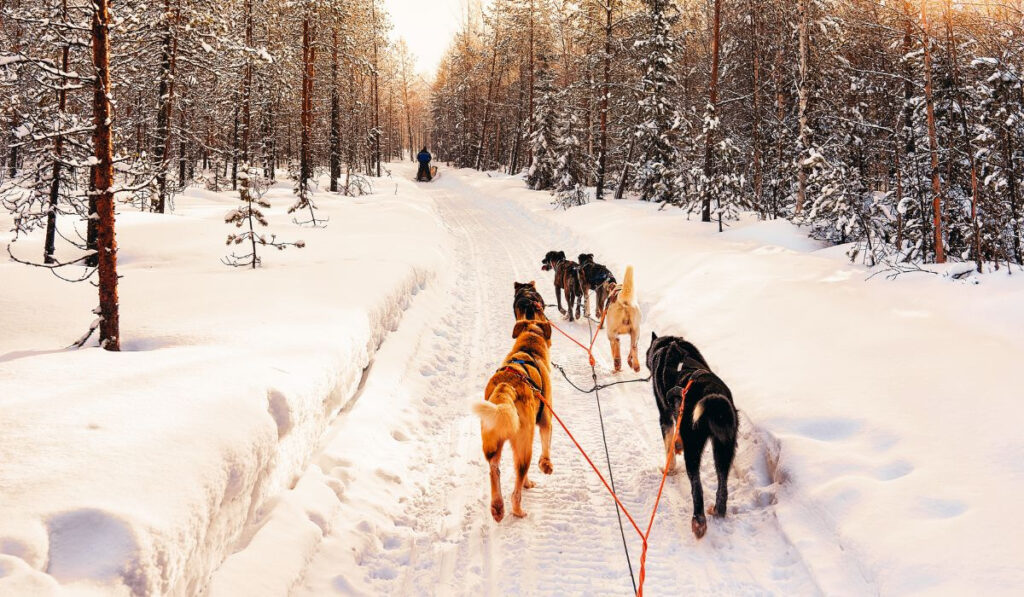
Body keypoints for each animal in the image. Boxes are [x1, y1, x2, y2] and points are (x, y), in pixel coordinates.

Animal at [471, 319, 552, 520]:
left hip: (492, 439)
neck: (528, 348)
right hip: (524, 445)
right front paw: (546, 465)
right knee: (517, 485)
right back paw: (518, 510)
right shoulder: (546, 418)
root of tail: (506, 387)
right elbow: (546, 444)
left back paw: (497, 507)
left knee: (494, 469)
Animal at [647, 333, 737, 540]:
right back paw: (718, 511)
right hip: (724, 448)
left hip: (694, 449)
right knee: (722, 485)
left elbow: (669, 445)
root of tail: (712, 393)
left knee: (697, 488)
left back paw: (699, 522)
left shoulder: (665, 417)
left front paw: (670, 468)